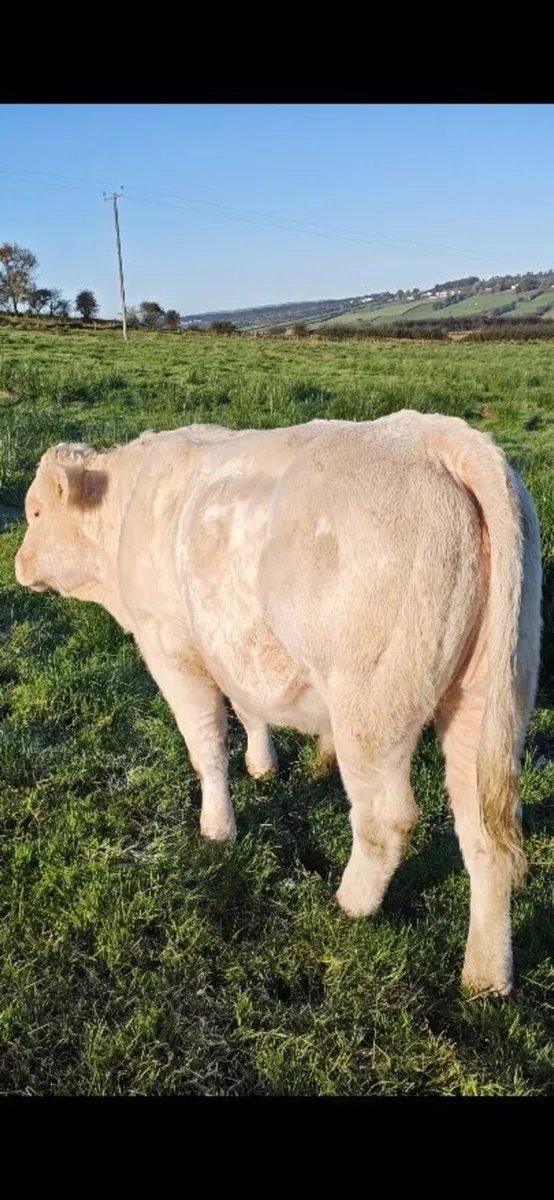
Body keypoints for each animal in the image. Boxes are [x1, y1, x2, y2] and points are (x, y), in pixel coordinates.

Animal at [14, 411, 542, 996]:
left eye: (35, 511)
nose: (17, 564)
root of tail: (435, 435)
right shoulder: (230, 645)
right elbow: (249, 708)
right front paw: (263, 766)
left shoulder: (171, 649)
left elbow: (206, 742)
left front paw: (217, 827)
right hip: (487, 702)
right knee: (486, 835)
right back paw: (487, 974)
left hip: (370, 708)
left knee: (387, 819)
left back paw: (350, 903)